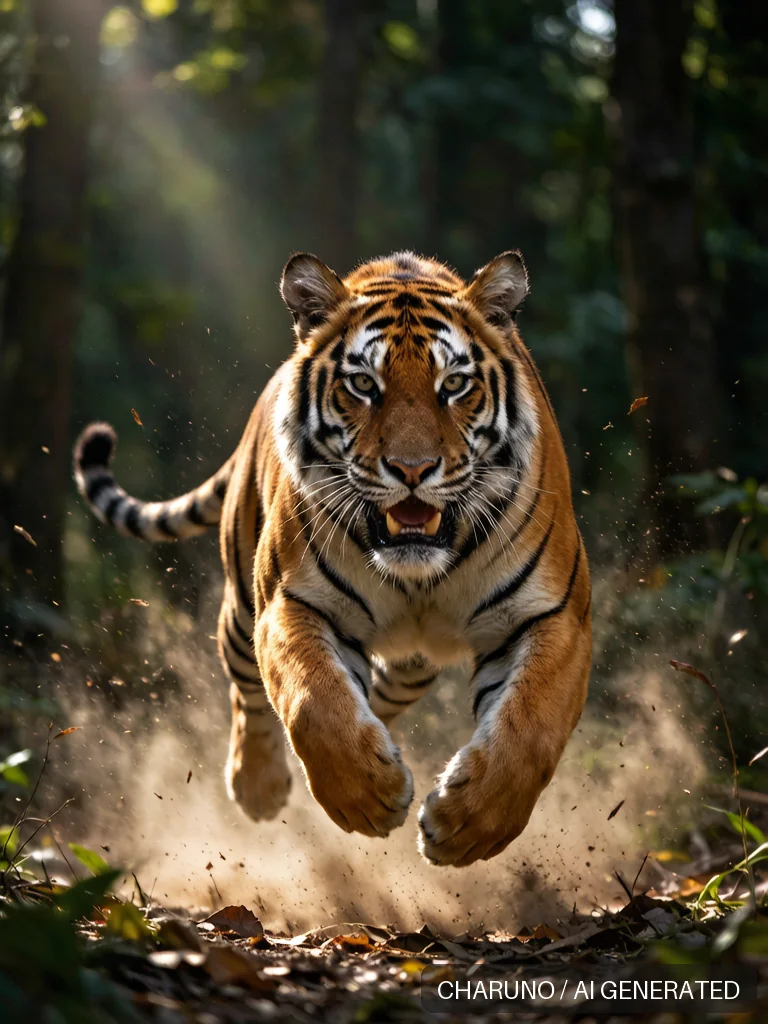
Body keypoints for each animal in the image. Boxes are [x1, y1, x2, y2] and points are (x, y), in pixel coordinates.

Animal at [73, 249, 591, 867]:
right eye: (363, 384)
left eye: (455, 384)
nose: (412, 469)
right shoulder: (291, 601)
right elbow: (312, 701)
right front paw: (368, 797)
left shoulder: (554, 616)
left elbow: (529, 727)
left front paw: (465, 827)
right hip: (242, 610)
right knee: (249, 689)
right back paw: (260, 786)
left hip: (411, 664)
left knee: (378, 693)